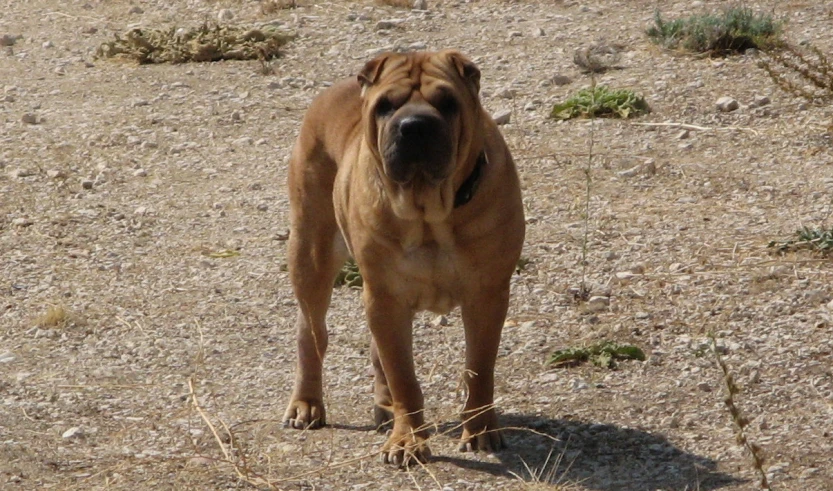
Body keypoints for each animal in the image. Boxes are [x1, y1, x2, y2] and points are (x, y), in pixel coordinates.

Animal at [282, 51, 524, 468]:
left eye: (447, 102)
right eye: (385, 106)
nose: (414, 126)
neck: (429, 211)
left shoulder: (487, 295)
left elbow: (479, 368)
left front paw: (480, 432)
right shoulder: (386, 298)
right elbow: (405, 379)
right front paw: (408, 440)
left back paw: (384, 407)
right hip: (311, 254)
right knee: (312, 334)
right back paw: (307, 403)